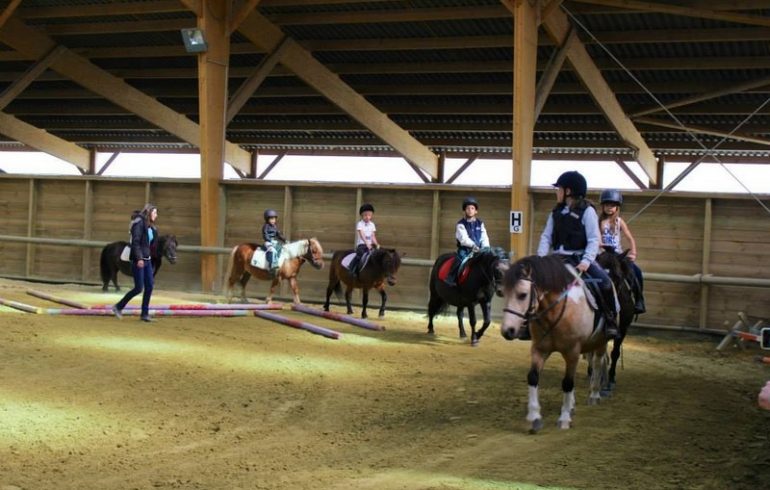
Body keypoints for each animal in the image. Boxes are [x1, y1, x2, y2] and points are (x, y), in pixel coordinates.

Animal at [498, 256, 612, 432]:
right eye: (503, 293)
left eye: (523, 295)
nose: (507, 331)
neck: (554, 312)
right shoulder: (539, 349)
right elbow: (533, 377)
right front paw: (534, 417)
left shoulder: (572, 351)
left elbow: (567, 383)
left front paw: (564, 419)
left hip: (601, 342)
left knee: (598, 362)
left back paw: (594, 395)